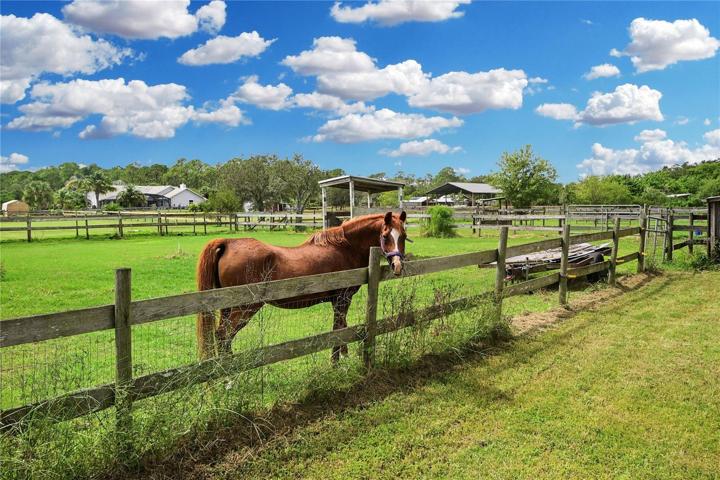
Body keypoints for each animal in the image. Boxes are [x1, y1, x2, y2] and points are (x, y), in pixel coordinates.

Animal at [195, 211, 409, 360]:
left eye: (403, 236)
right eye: (385, 236)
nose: (397, 266)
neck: (345, 248)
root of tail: (228, 243)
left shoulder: (337, 301)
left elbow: (342, 327)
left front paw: (344, 355)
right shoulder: (342, 299)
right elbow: (337, 330)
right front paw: (336, 363)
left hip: (226, 308)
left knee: (221, 335)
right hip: (244, 308)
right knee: (224, 335)